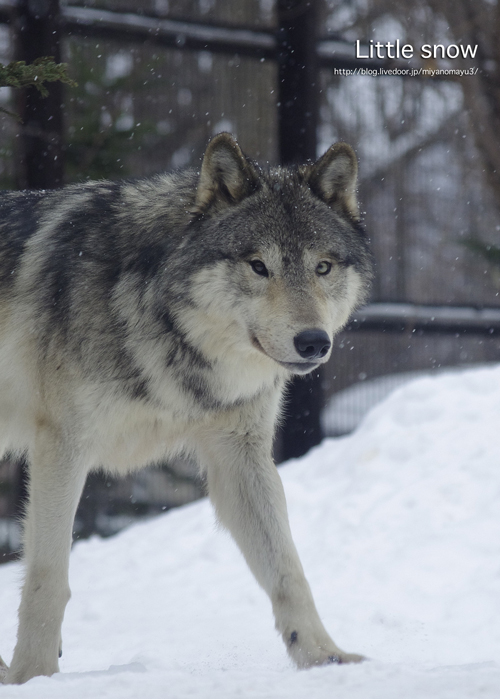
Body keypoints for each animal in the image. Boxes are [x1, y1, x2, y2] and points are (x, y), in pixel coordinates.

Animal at [0, 133, 372, 684]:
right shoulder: (62, 449)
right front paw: (34, 678)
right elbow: (49, 577)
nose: (313, 342)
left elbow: (288, 569)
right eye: (258, 266)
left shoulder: (240, 457)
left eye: (322, 267)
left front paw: (325, 658)